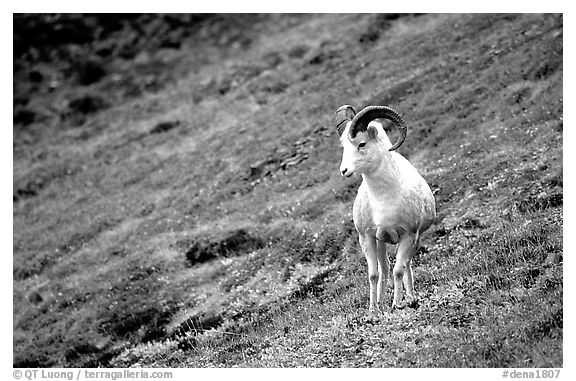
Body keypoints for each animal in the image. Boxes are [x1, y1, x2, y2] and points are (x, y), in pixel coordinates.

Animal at [332, 104, 436, 312]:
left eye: (362, 144)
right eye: (344, 146)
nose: (344, 171)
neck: (383, 200)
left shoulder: (408, 236)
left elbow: (399, 270)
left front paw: (397, 304)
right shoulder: (367, 238)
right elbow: (374, 274)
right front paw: (373, 310)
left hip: (415, 240)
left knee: (406, 265)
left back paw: (410, 297)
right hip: (381, 242)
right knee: (385, 268)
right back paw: (381, 302)